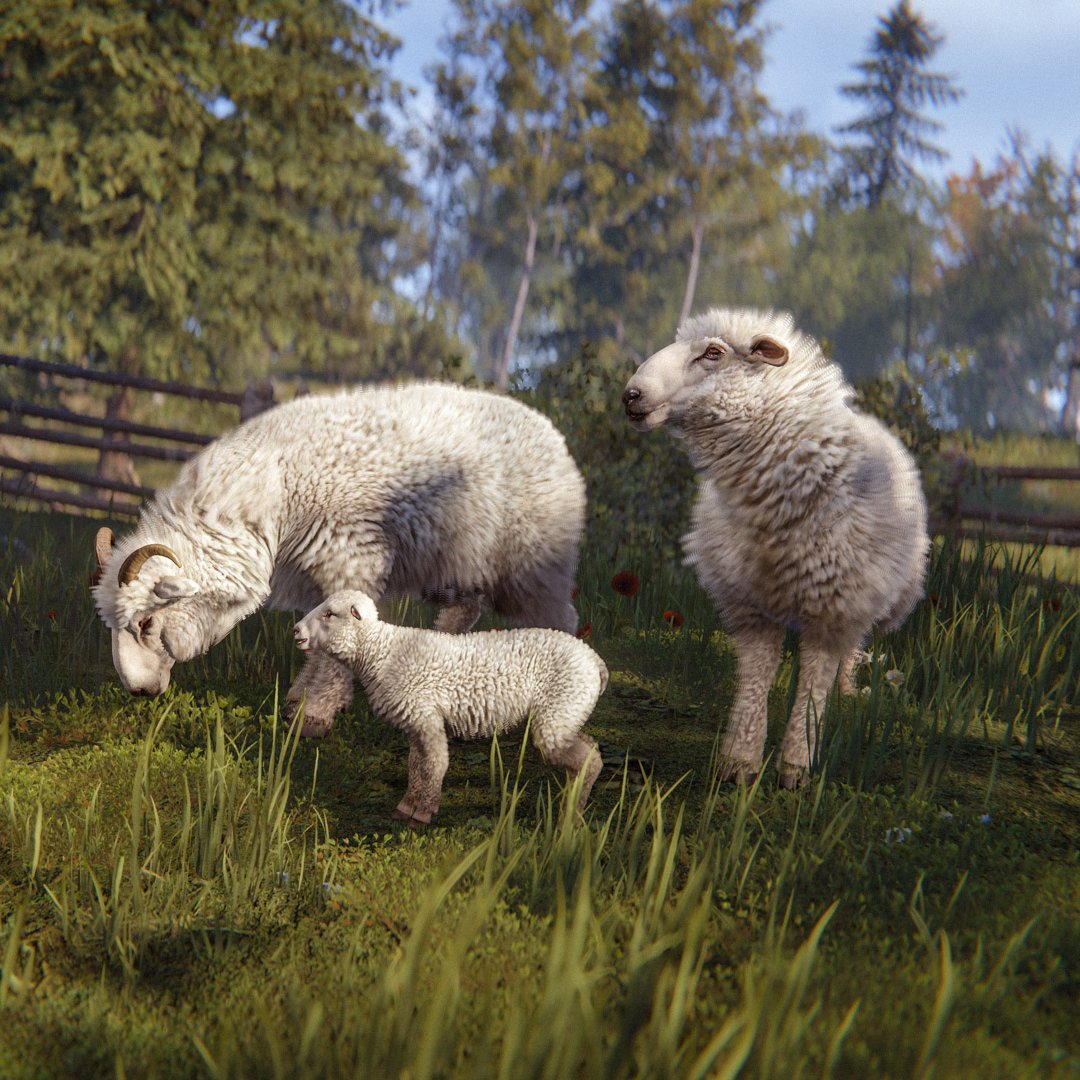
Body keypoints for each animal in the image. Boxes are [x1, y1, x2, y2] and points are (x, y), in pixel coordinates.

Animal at [92, 382, 586, 736]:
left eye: (146, 623)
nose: (136, 691)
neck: (267, 492)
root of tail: (554, 435)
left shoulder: (352, 559)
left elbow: (336, 644)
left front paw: (313, 714)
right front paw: (299, 699)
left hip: (534, 567)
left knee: (559, 619)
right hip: (453, 563)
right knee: (464, 610)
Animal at [293, 590, 607, 826]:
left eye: (330, 614)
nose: (296, 631)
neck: (382, 652)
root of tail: (594, 660)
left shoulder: (426, 716)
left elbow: (434, 763)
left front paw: (422, 813)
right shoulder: (416, 722)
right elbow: (415, 764)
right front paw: (408, 806)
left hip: (560, 710)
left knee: (589, 759)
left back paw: (570, 817)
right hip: (565, 713)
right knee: (588, 750)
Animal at [622, 307, 928, 788]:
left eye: (713, 354)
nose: (631, 395)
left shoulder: (835, 604)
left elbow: (814, 684)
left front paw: (797, 765)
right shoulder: (750, 603)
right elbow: (756, 676)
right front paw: (739, 762)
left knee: (852, 649)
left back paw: (848, 693)